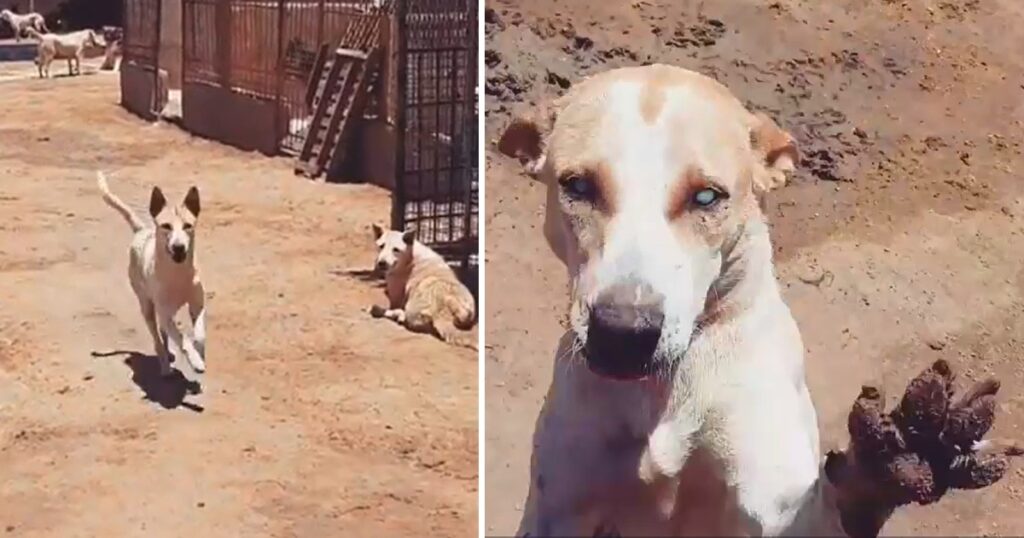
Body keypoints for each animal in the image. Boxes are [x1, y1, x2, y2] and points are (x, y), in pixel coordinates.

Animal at [96, 173, 206, 377]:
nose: (178, 247)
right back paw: (164, 365)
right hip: (147, 306)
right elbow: (183, 339)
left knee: (164, 333)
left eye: (188, 226)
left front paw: (199, 353)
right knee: (157, 338)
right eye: (166, 226)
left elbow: (199, 335)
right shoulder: (164, 312)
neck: (177, 273)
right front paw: (195, 361)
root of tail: (141, 230)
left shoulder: (197, 305)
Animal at [495, 66, 1015, 536]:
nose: (623, 334)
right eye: (578, 186)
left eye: (707, 197)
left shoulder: (778, 507)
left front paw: (888, 465)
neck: (665, 391)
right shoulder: (558, 511)